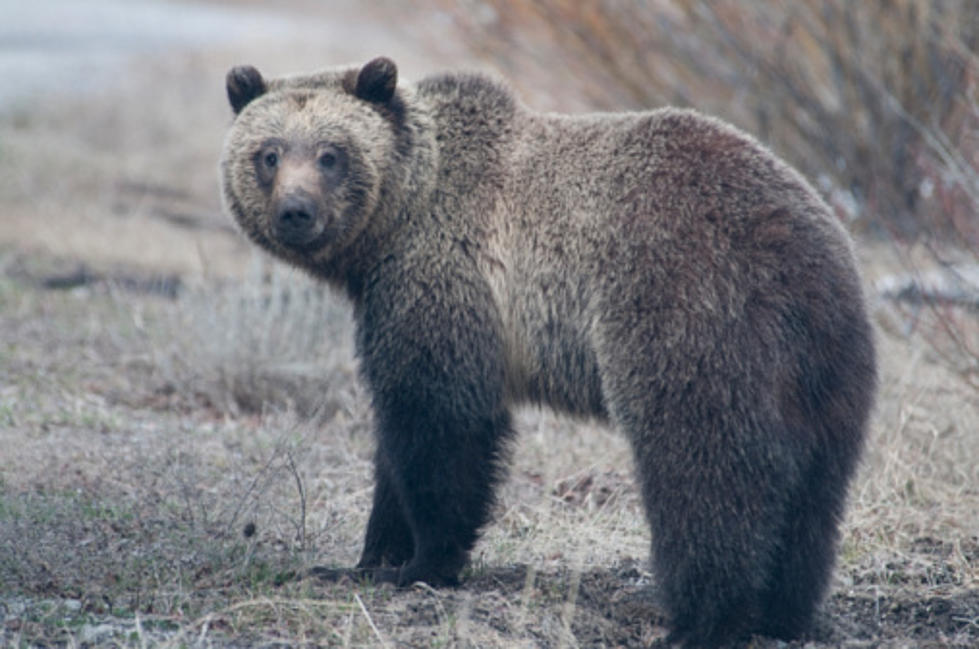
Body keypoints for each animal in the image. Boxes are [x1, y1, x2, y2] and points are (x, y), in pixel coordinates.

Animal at [222, 58, 880, 644]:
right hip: (826, 369)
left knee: (704, 471)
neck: (398, 222)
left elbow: (441, 429)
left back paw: (702, 620)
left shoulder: (443, 282)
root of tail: (801, 254)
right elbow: (396, 441)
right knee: (814, 496)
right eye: (269, 153)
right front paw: (368, 559)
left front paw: (423, 563)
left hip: (687, 316)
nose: (296, 212)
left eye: (331, 154)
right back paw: (785, 613)